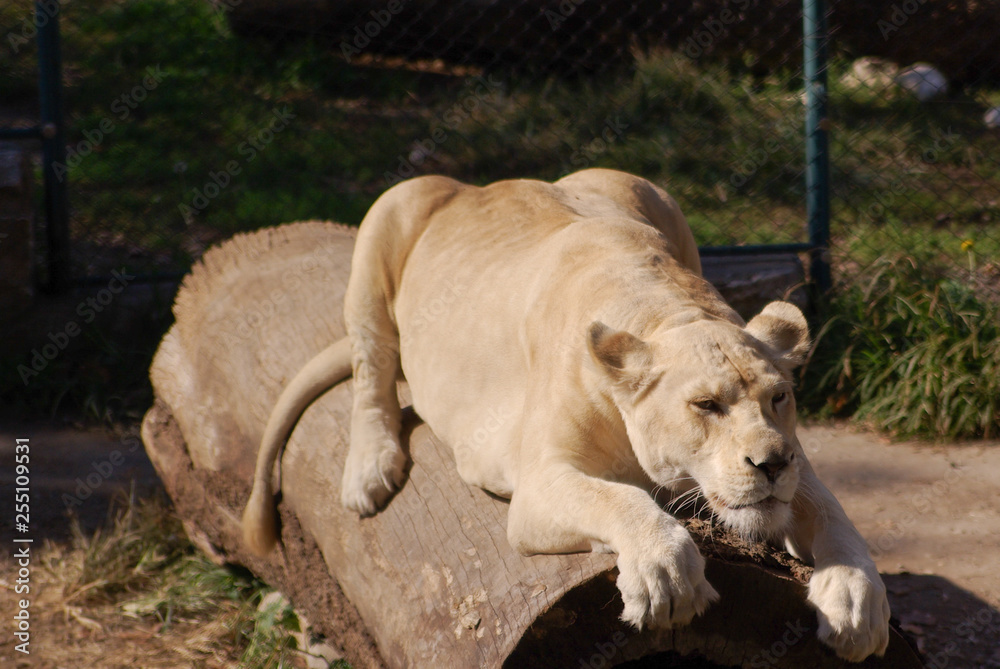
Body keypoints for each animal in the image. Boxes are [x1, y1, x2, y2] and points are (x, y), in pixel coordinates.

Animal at [241, 168, 890, 662]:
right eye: (706, 405)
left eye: (779, 397)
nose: (771, 464)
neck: (668, 308)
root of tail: (478, 185)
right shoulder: (539, 483)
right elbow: (617, 499)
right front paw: (665, 574)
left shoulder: (799, 467)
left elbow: (836, 517)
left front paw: (858, 603)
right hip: (390, 211)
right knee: (370, 361)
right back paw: (368, 470)